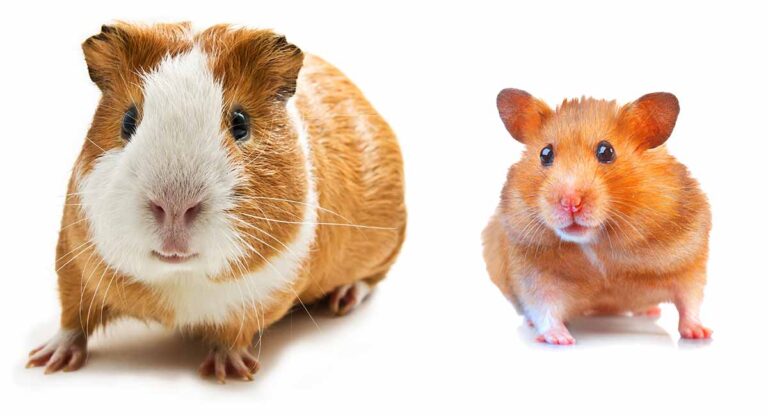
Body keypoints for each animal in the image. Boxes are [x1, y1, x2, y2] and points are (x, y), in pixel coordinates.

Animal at [27, 22, 406, 381]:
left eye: (240, 123)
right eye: (128, 120)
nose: (174, 207)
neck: (179, 278)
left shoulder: (259, 300)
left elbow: (234, 335)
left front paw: (230, 371)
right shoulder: (72, 260)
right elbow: (72, 319)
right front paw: (45, 361)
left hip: (385, 244)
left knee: (371, 278)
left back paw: (344, 299)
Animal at [482, 88, 711, 345]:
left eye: (606, 151)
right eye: (545, 154)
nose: (570, 202)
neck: (596, 242)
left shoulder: (690, 259)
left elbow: (690, 299)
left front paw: (700, 334)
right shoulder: (534, 273)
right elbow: (544, 307)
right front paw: (561, 340)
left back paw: (651, 311)